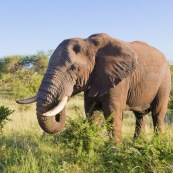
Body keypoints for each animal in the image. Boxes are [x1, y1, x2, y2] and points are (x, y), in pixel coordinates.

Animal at [15, 33, 170, 144]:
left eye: (74, 68)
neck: (90, 43)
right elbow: (91, 112)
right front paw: (94, 148)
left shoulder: (120, 80)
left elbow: (112, 113)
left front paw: (115, 152)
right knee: (140, 116)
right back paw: (137, 146)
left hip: (165, 82)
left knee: (157, 114)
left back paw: (157, 146)